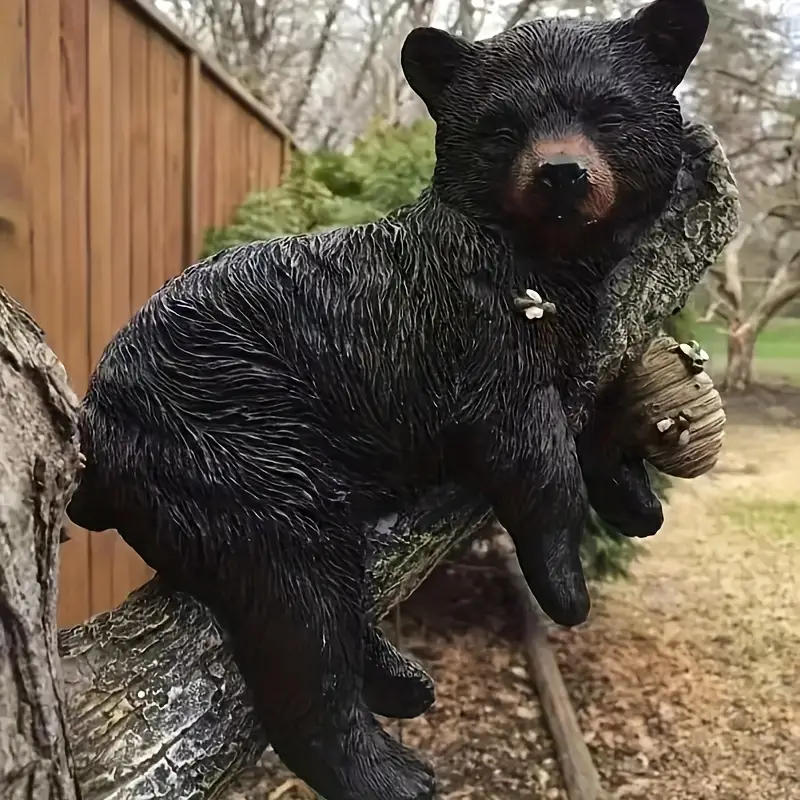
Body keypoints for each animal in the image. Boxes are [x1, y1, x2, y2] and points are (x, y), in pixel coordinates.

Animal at [66, 1, 709, 798]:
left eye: (610, 115)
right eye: (503, 127)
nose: (561, 174)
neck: (541, 268)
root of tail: (98, 436)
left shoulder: (583, 330)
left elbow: (597, 395)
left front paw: (633, 493)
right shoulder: (471, 345)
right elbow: (535, 458)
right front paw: (565, 586)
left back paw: (399, 677)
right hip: (232, 446)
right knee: (297, 606)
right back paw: (388, 771)